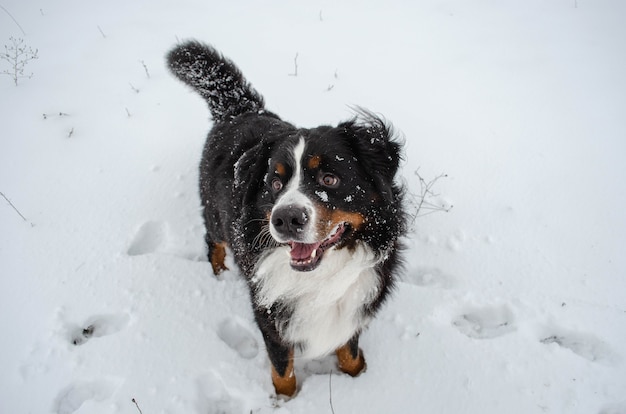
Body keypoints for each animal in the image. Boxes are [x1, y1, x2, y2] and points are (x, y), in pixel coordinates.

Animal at [165, 40, 404, 396]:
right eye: (275, 184)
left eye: (329, 179)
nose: (286, 219)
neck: (320, 277)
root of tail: (240, 109)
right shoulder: (269, 314)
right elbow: (282, 369)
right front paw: (285, 399)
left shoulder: (353, 305)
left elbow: (348, 350)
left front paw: (358, 376)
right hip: (214, 216)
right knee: (212, 241)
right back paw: (220, 272)